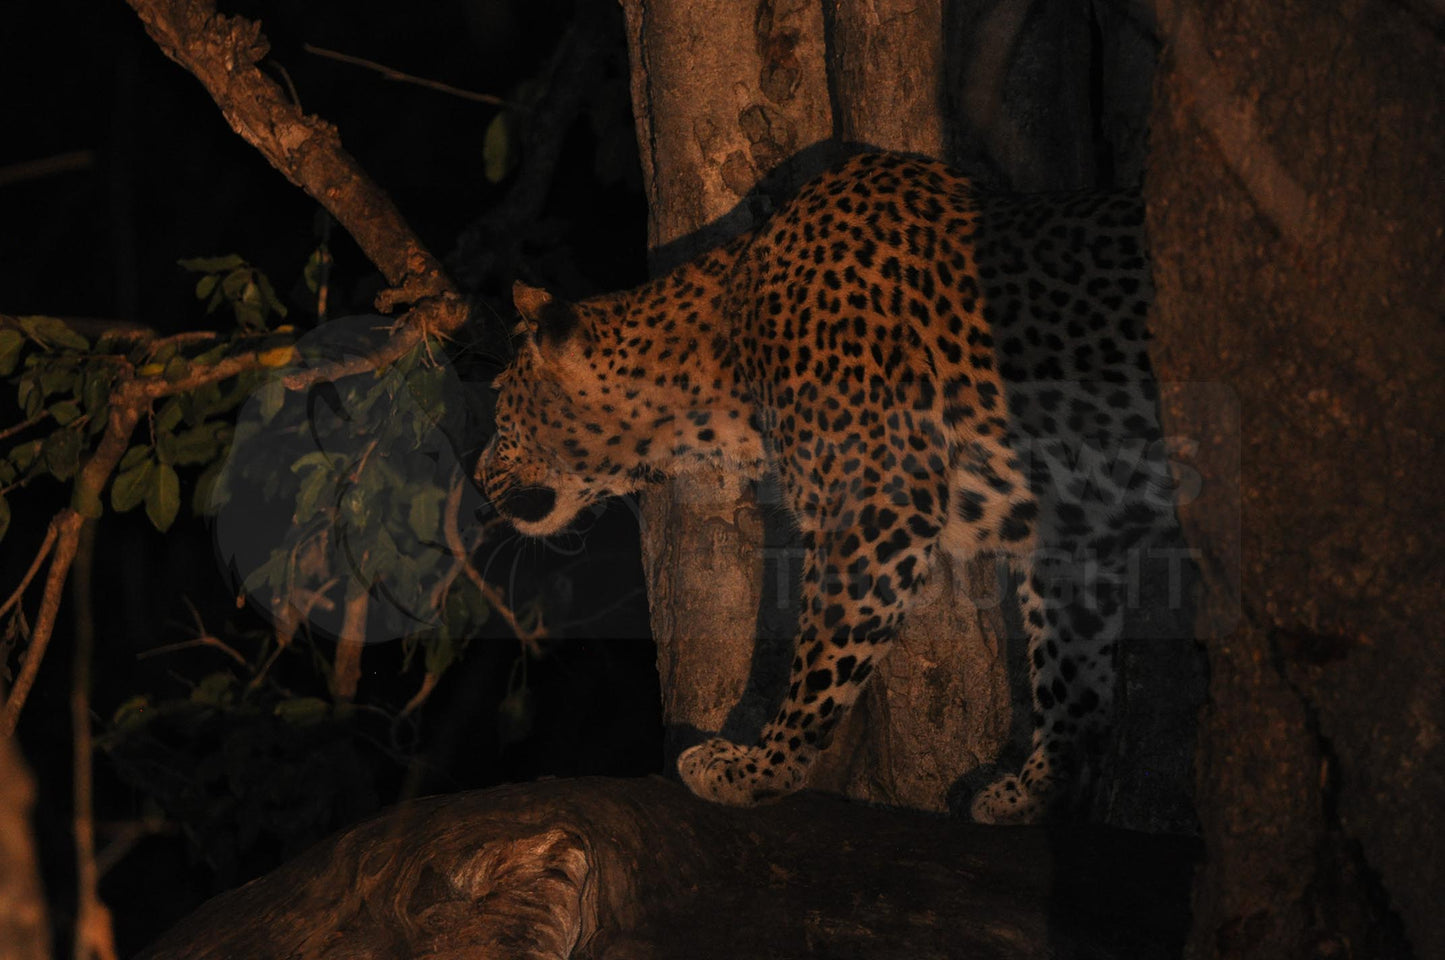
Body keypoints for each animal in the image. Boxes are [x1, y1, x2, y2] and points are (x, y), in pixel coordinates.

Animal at [473, 151, 1173, 826]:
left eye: (501, 410)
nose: (477, 478)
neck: (721, 361)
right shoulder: (1071, 534)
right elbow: (1069, 672)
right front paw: (1038, 793)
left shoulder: (875, 505)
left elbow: (821, 658)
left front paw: (760, 769)